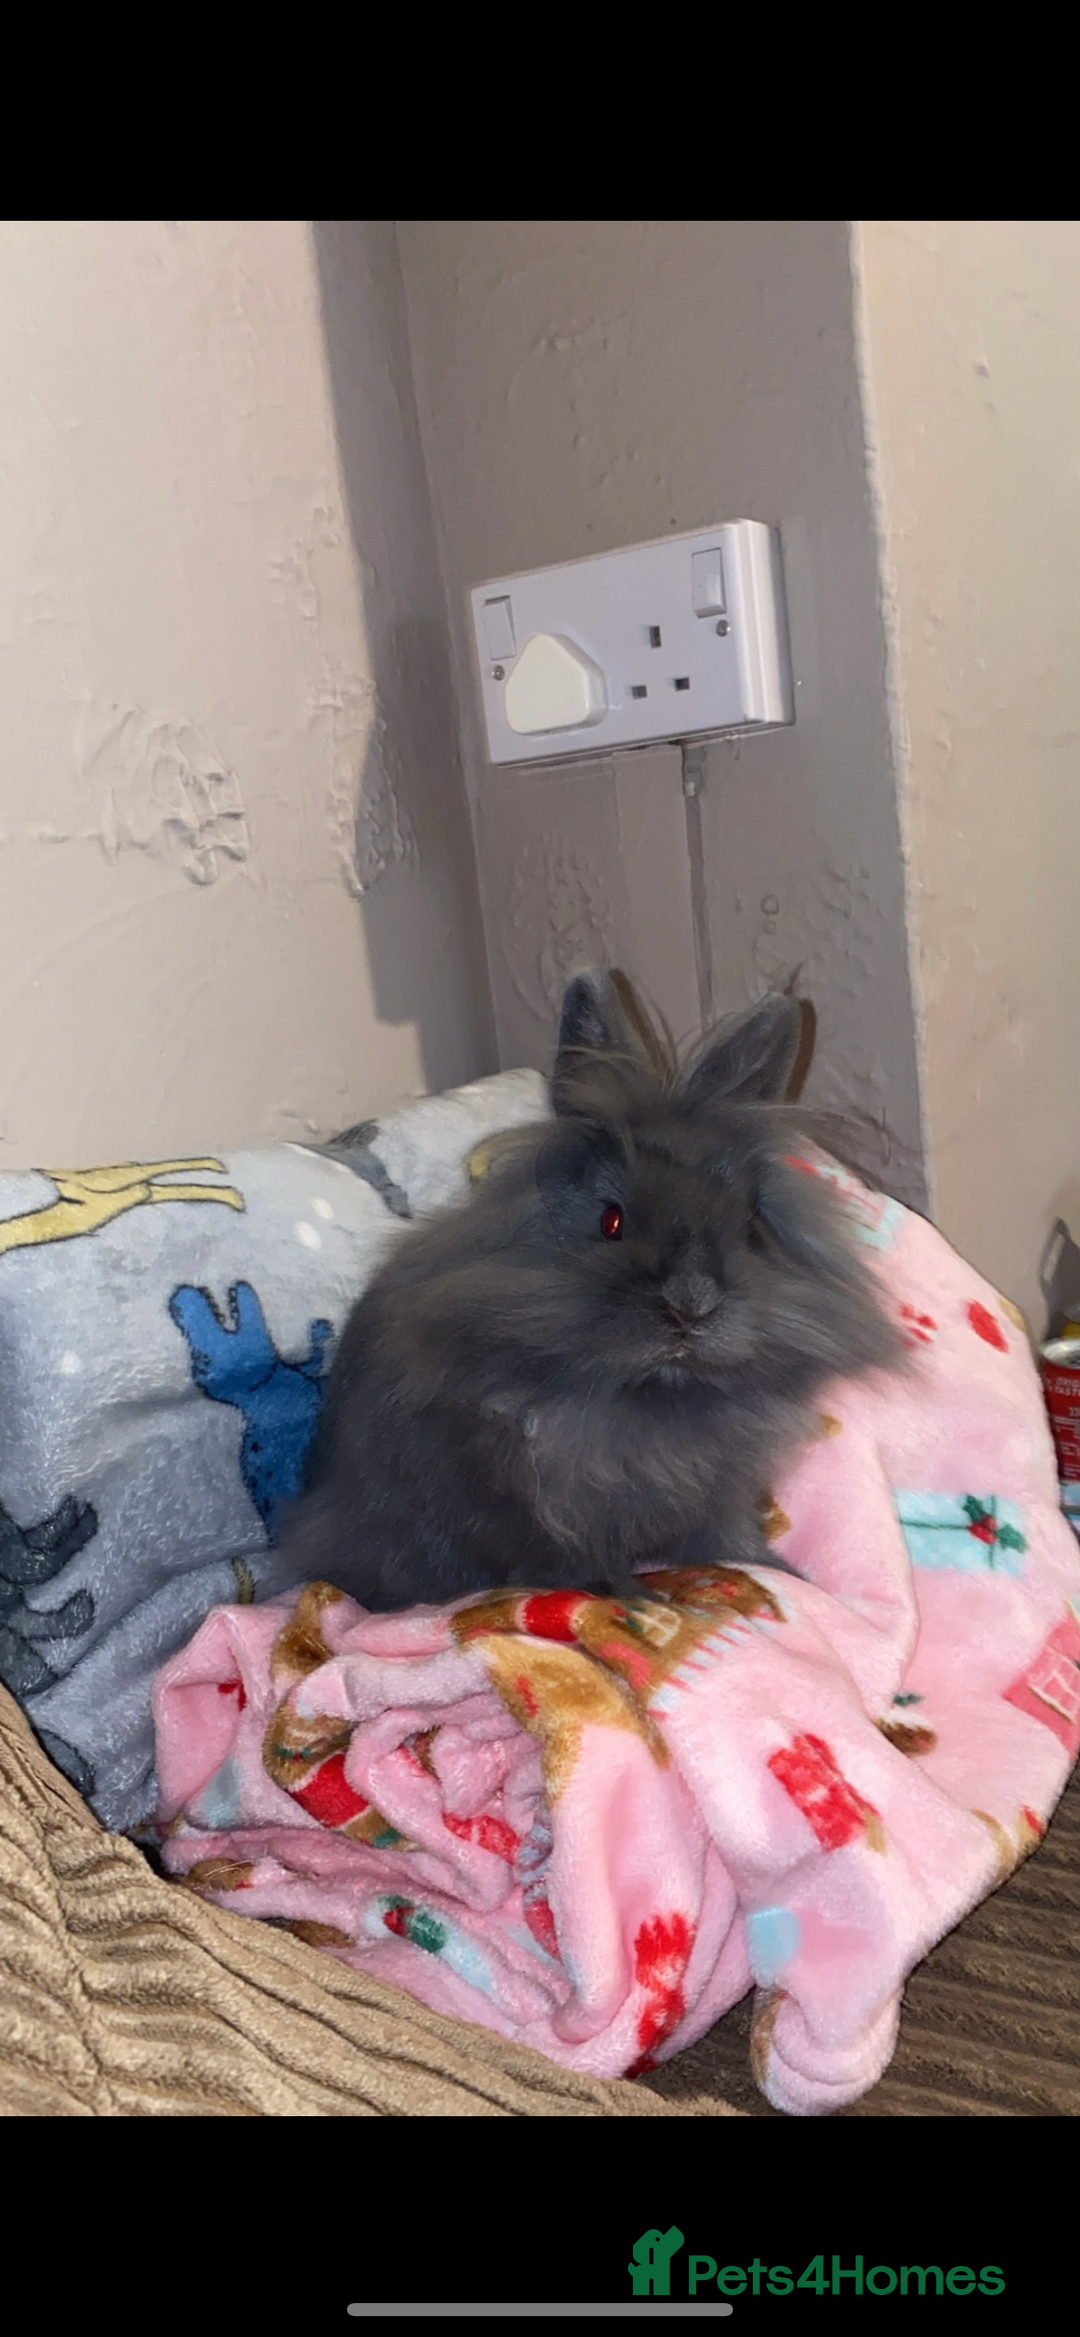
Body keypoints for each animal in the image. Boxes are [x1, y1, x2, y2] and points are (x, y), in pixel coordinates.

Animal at [256, 972, 904, 1613]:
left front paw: (782, 1575)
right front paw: (632, 1600)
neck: (651, 1394)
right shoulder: (535, 1503)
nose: (690, 1306)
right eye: (610, 1221)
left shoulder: (721, 1491)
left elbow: (727, 1539)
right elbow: (570, 1561)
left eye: (751, 1226)